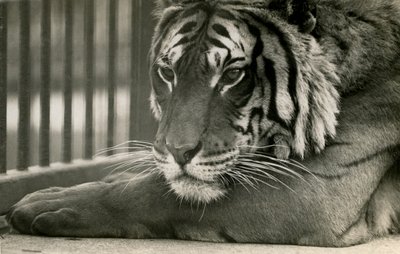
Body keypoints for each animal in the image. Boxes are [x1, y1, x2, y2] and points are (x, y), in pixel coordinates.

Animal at [6, 0, 400, 247]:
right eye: (167, 73)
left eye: (232, 75)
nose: (177, 152)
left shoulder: (318, 190)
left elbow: (156, 194)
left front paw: (45, 204)